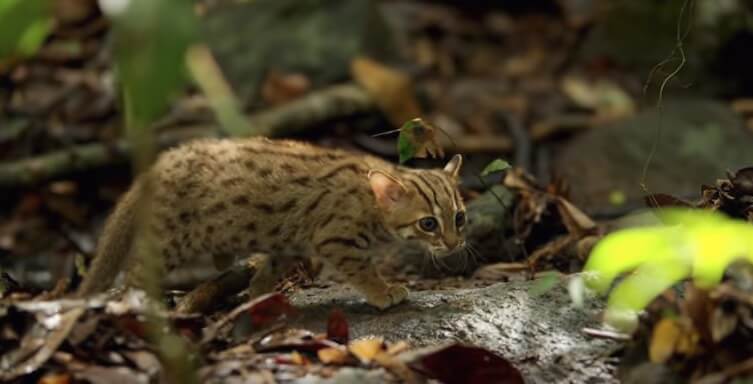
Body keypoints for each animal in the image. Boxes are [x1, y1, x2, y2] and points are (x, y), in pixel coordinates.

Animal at [78, 137, 464, 308]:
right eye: (429, 224)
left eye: (459, 218)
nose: (454, 244)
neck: (373, 202)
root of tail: (162, 161)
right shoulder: (335, 239)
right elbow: (362, 270)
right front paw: (383, 291)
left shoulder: (288, 244)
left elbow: (266, 273)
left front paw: (258, 297)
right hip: (170, 241)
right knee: (135, 273)